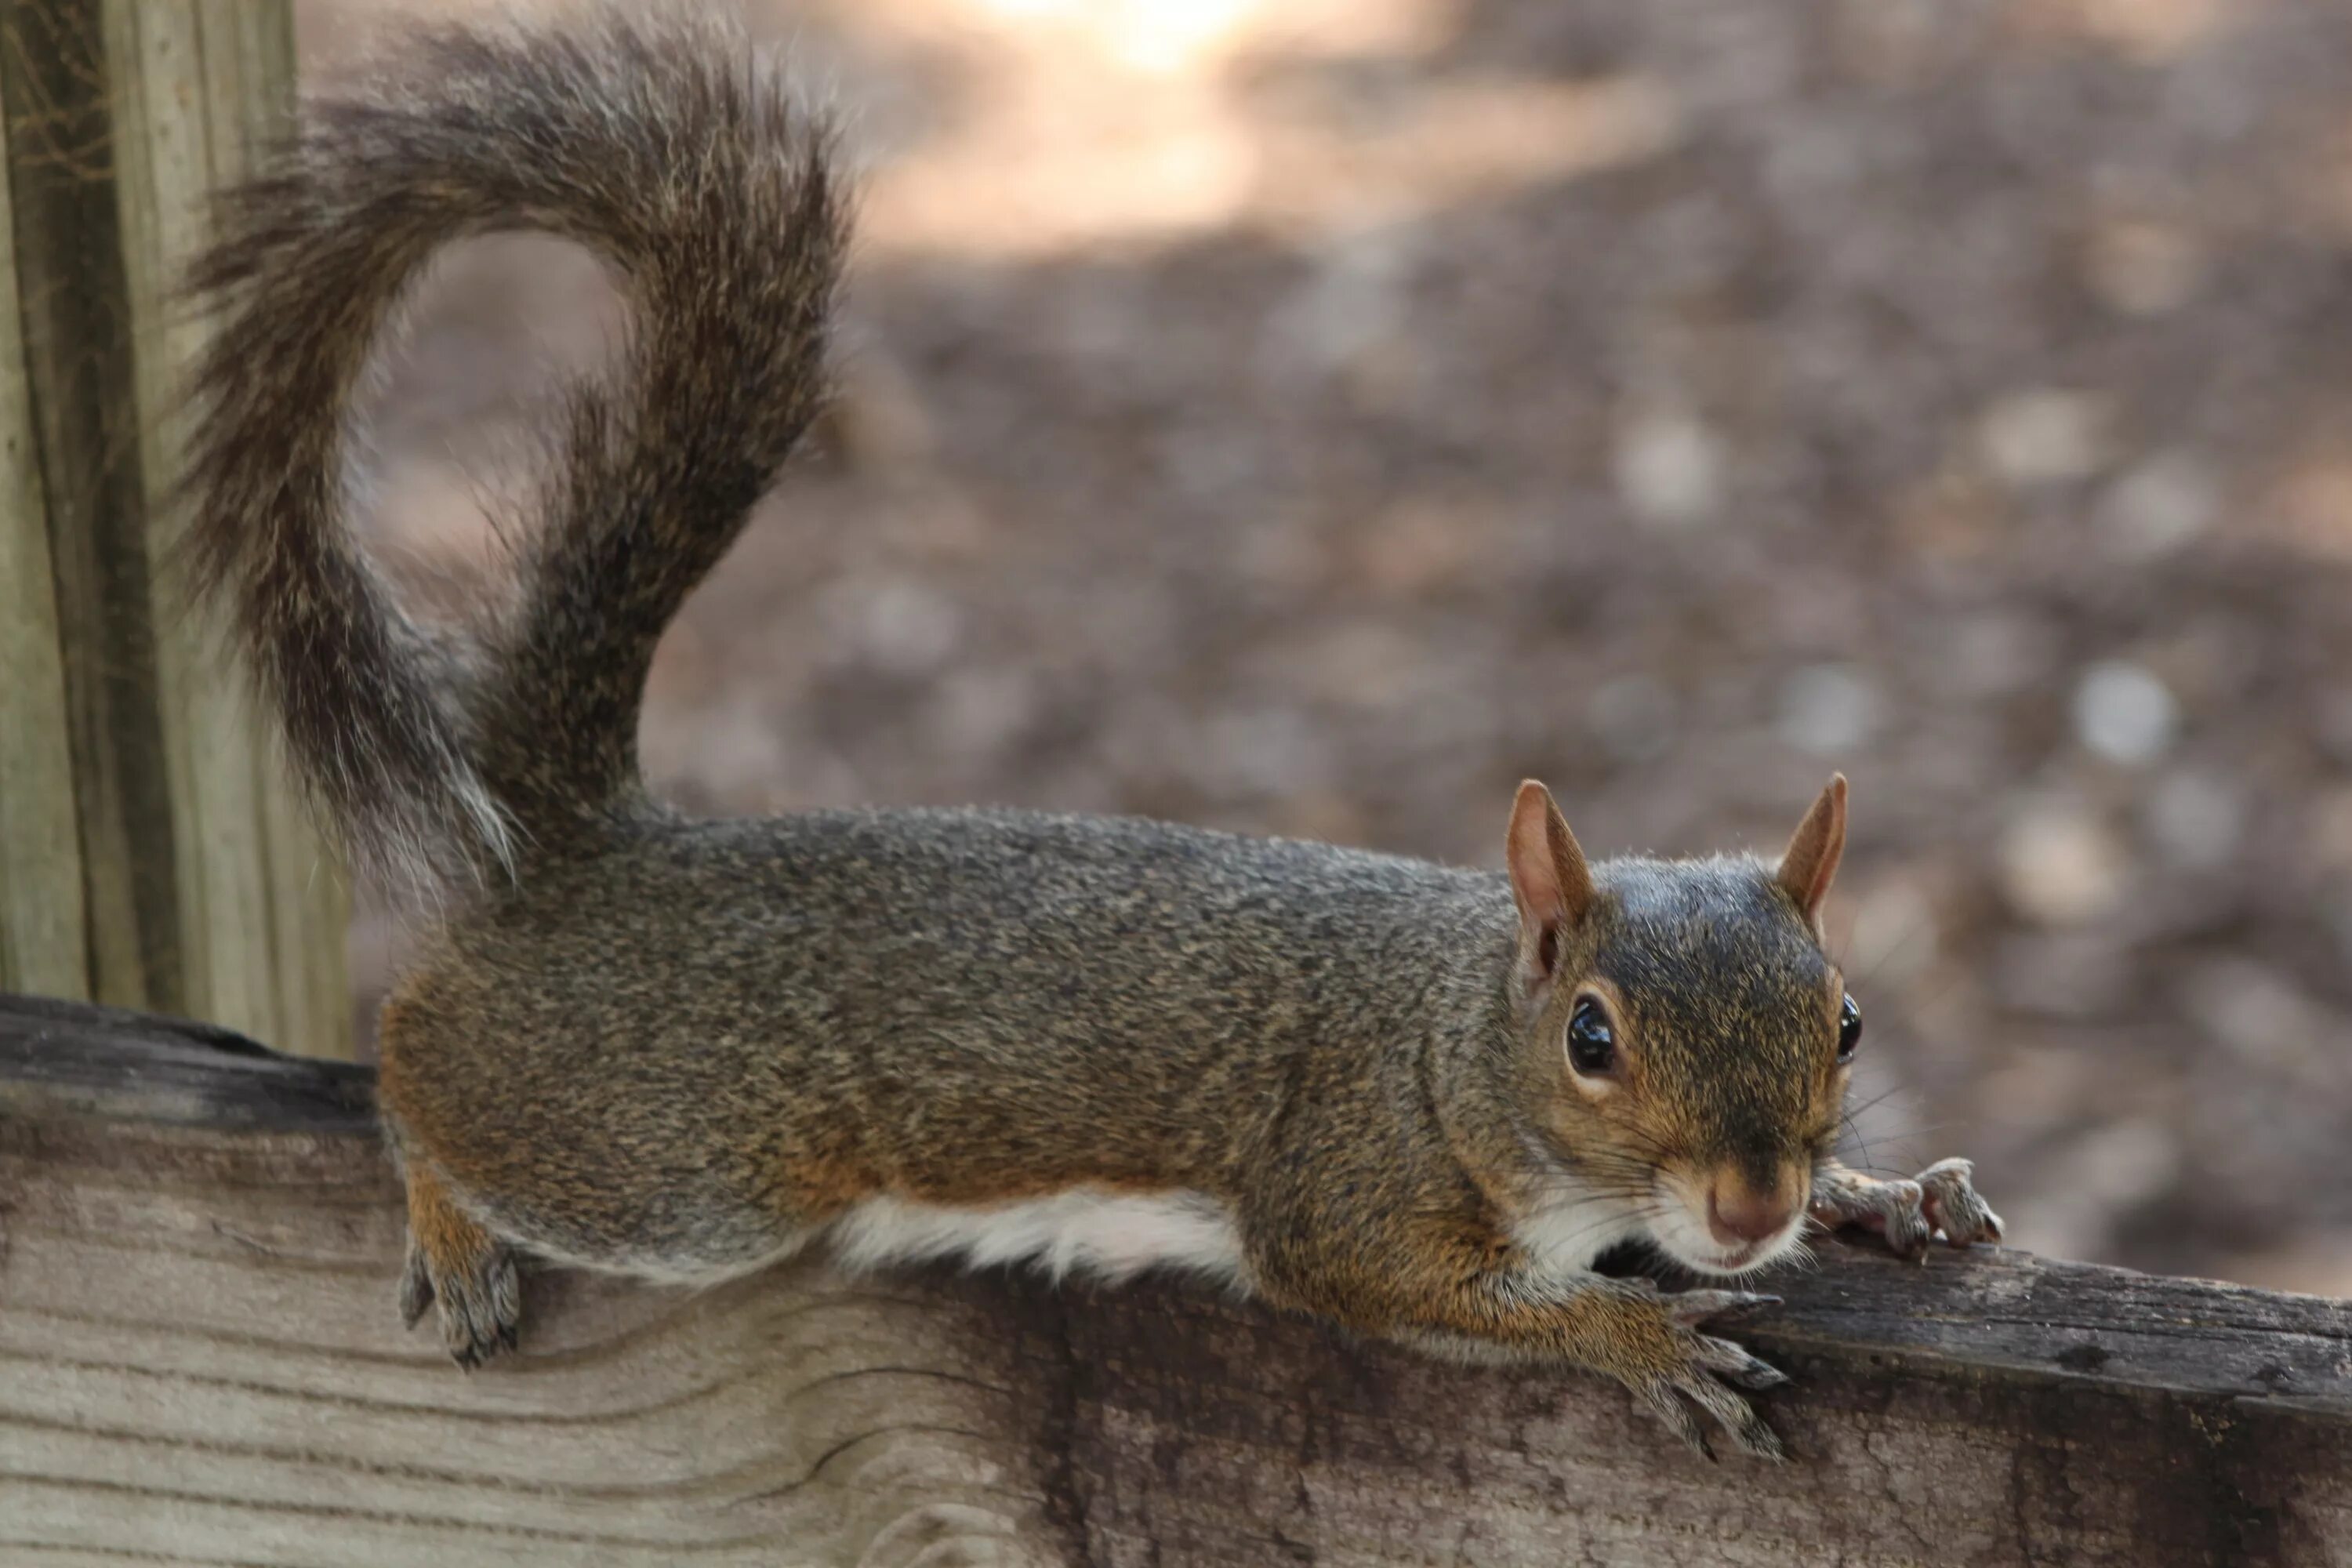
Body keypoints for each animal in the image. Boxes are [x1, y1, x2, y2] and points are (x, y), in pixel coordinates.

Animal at [179, 5, 2004, 1467]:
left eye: (1845, 1021)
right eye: (1594, 1040)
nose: (1751, 1202)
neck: (1446, 1038)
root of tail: (606, 851)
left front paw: (1879, 1198)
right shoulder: (1345, 1191)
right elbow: (1414, 1291)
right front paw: (1638, 1339)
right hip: (677, 1162)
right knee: (417, 1058)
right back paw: (448, 1216)